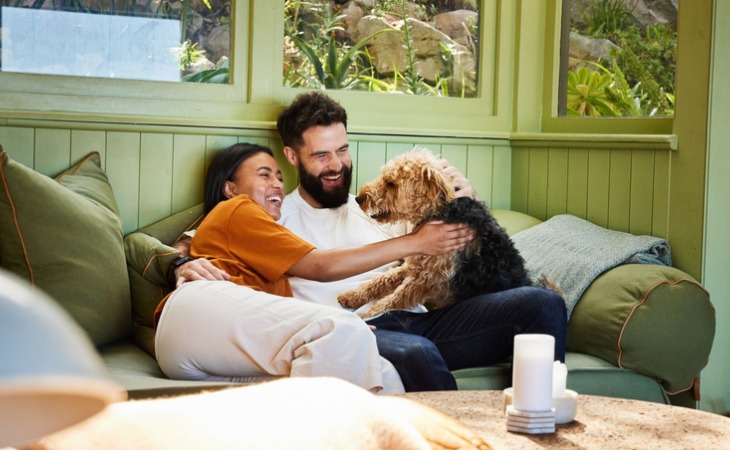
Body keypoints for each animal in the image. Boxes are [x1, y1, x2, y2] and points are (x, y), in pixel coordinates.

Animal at [338, 147, 548, 316]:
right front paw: (352, 296)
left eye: (391, 183)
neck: (438, 211)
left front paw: (366, 316)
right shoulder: (416, 265)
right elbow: (381, 279)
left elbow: (393, 300)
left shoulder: (426, 279)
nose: (358, 198)